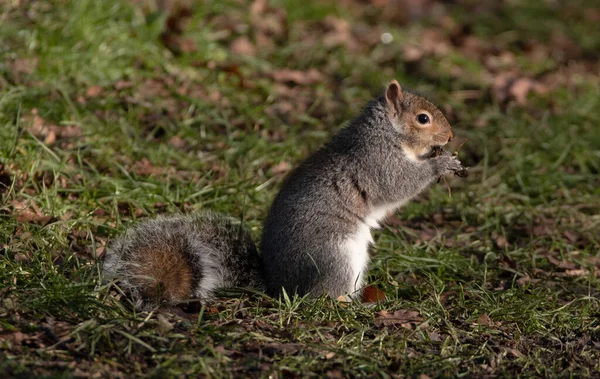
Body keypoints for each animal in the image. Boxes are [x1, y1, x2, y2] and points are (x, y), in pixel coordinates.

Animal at [103, 81, 466, 312]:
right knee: (320, 298)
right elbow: (398, 183)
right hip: (334, 255)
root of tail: (279, 287)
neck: (385, 134)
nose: (450, 136)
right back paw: (350, 307)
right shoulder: (376, 162)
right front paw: (441, 164)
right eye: (422, 118)